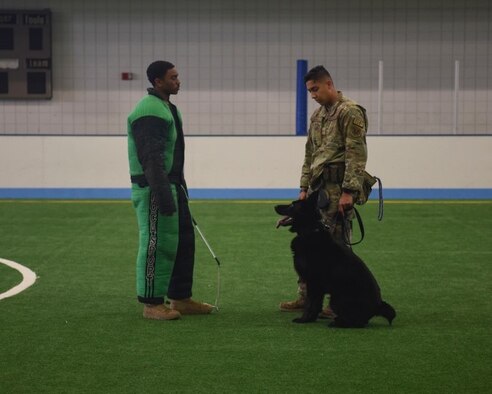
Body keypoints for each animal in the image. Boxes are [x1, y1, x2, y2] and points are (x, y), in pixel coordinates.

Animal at [276, 192, 396, 328]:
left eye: (292, 205)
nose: (275, 206)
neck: (310, 230)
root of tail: (378, 306)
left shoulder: (314, 282)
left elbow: (310, 303)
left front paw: (304, 319)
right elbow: (315, 304)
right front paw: (310, 318)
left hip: (336, 299)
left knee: (358, 322)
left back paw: (338, 322)